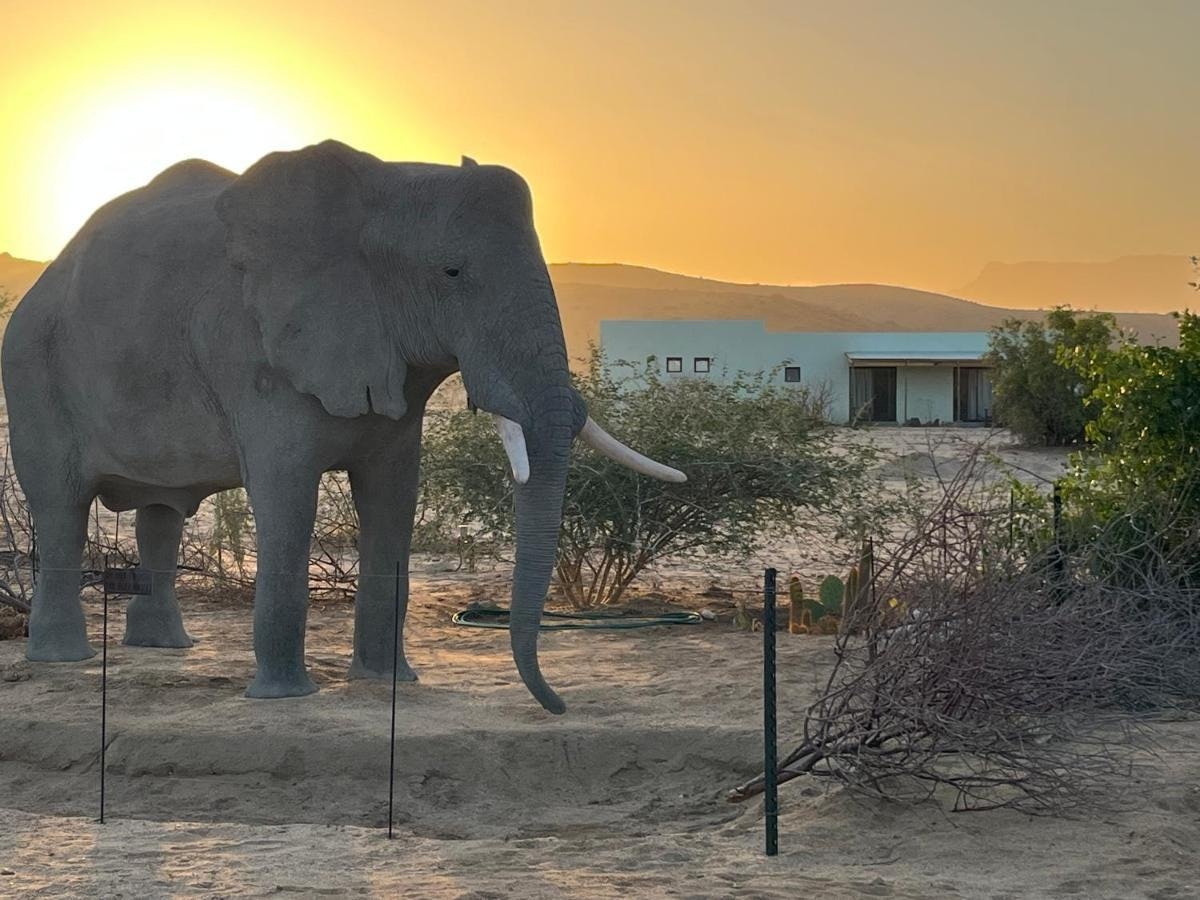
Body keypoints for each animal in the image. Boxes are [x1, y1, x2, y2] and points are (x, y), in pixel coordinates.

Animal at [1, 140, 684, 712]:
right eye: (452, 273)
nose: (558, 706)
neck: (387, 183)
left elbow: (392, 497)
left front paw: (389, 684)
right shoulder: (257, 351)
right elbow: (286, 494)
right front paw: (283, 699)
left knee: (162, 515)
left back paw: (165, 649)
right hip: (32, 369)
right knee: (61, 509)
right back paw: (62, 658)